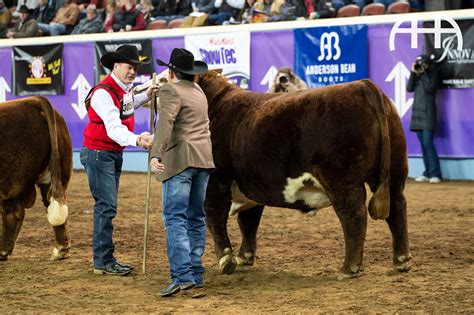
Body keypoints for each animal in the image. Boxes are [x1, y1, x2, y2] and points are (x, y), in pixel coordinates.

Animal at [196, 71, 412, 278]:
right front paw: (244, 257)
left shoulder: (216, 180)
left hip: (341, 180)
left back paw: (349, 269)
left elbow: (215, 217)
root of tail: (363, 85)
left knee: (354, 214)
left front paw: (226, 260)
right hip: (395, 170)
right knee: (397, 207)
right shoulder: (249, 185)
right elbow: (248, 221)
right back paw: (401, 261)